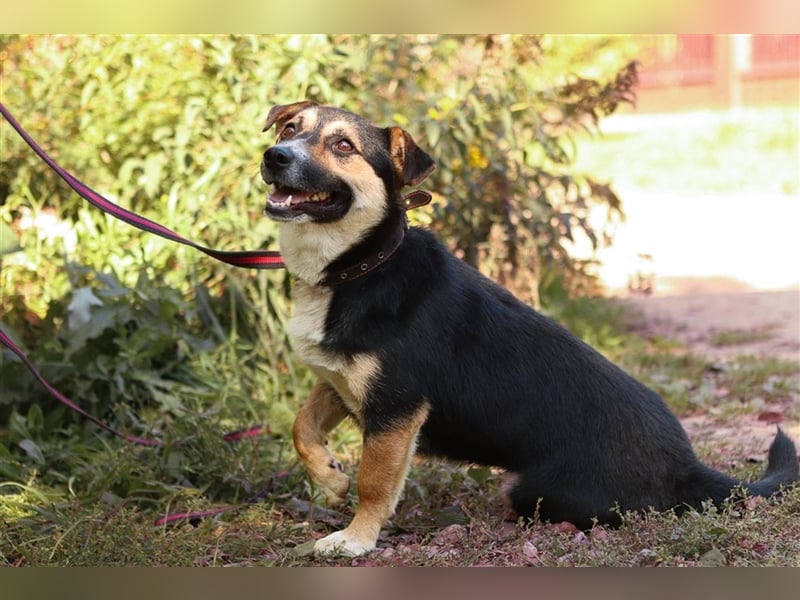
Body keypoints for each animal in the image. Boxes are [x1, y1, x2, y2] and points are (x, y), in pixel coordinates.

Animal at [260, 101, 796, 556]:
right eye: (290, 129)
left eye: (343, 145)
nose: (274, 155)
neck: (362, 266)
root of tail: (686, 466)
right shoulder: (341, 381)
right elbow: (302, 427)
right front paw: (331, 478)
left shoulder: (395, 407)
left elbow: (373, 482)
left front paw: (355, 538)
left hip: (528, 484)